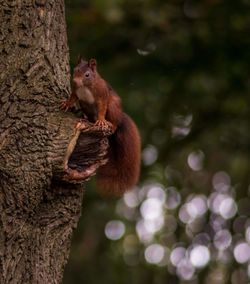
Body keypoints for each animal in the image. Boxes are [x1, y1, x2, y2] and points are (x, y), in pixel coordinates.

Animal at [59, 57, 140, 195]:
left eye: (87, 74)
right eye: (75, 70)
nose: (75, 81)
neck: (85, 86)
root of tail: (120, 117)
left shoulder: (102, 94)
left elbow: (102, 107)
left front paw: (101, 120)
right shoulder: (76, 92)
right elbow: (73, 97)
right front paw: (66, 103)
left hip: (113, 107)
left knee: (114, 122)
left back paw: (110, 124)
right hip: (85, 106)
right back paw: (86, 119)